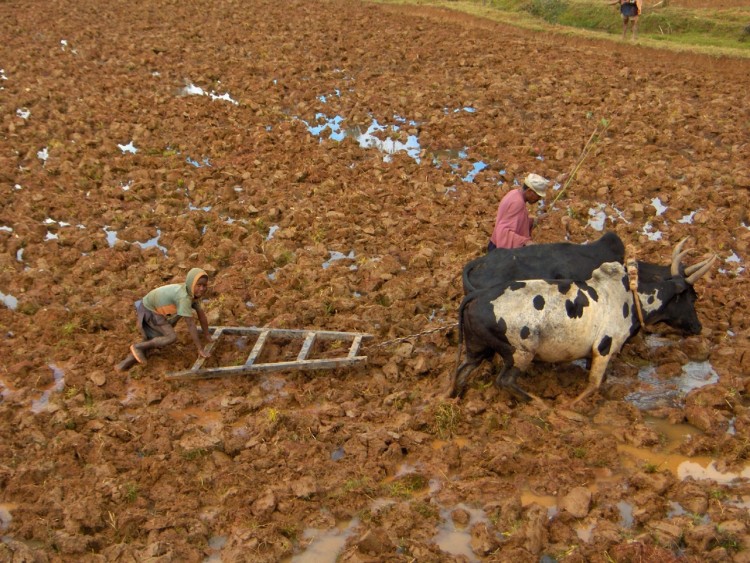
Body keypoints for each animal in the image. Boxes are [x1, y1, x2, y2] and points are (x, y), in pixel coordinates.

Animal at [450, 251, 720, 406]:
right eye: (692, 297)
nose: (698, 327)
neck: (631, 298)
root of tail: (477, 295)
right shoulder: (604, 347)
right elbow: (593, 384)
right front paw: (571, 407)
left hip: (477, 348)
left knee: (463, 371)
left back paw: (452, 397)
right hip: (521, 352)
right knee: (504, 381)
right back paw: (538, 403)